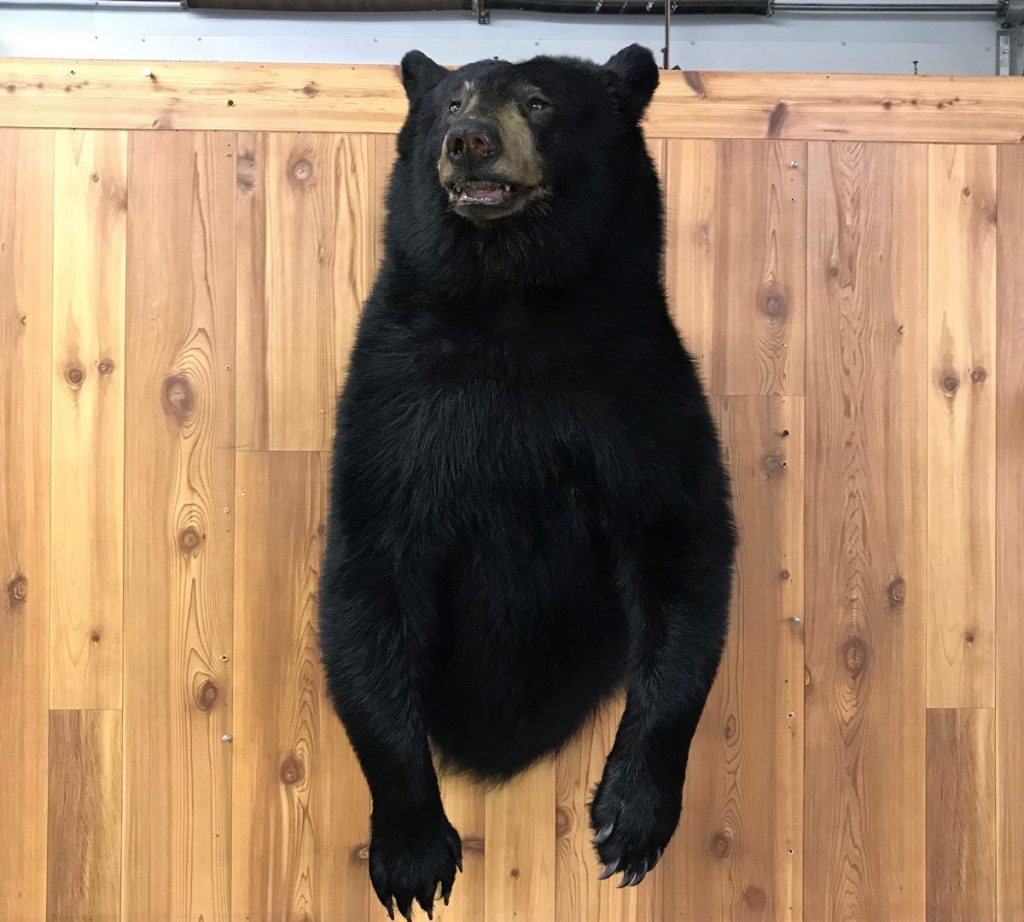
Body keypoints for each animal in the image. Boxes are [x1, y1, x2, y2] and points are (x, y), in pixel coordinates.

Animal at [318, 44, 737, 921]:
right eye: (450, 102)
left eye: (541, 103)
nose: (468, 141)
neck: (511, 302)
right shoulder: (395, 403)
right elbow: (368, 575)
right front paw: (411, 851)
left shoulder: (637, 389)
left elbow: (682, 548)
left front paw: (631, 816)